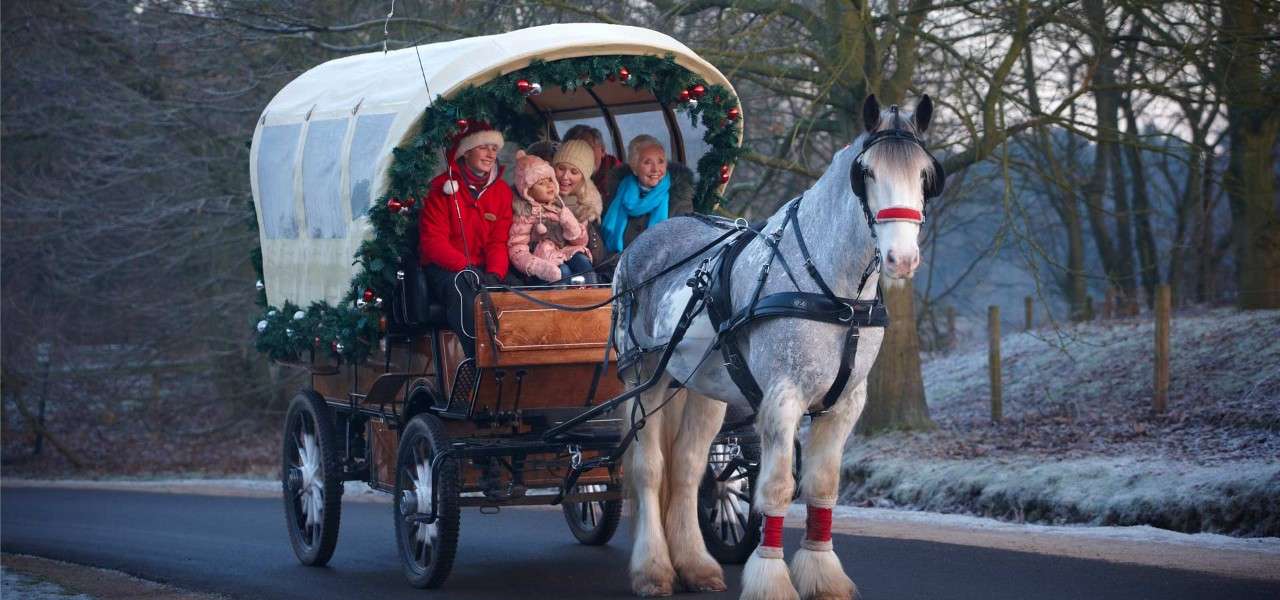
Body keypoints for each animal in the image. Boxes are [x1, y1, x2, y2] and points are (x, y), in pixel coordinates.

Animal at [609, 94, 942, 598]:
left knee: (687, 469)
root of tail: (642, 243)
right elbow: (778, 489)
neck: (837, 297)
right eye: (866, 173)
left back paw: (697, 566)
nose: (901, 259)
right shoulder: (783, 398)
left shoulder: (844, 404)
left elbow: (822, 486)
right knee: (649, 468)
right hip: (643, 377)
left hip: (703, 389)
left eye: (924, 174)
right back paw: (653, 569)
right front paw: (770, 577)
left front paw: (823, 574)